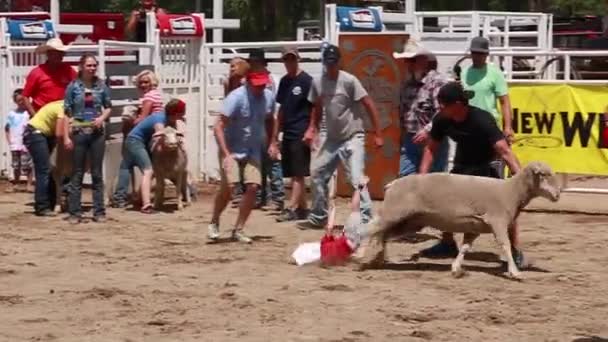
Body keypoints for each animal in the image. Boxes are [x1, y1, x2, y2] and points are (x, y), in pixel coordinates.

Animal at [358, 162, 564, 280]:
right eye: (544, 175)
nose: (557, 195)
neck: (511, 191)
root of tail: (392, 184)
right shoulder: (497, 221)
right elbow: (505, 245)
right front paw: (515, 272)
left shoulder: (474, 227)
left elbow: (465, 248)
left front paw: (456, 269)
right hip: (394, 212)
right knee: (368, 228)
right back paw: (358, 255)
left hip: (410, 221)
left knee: (383, 234)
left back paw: (379, 259)